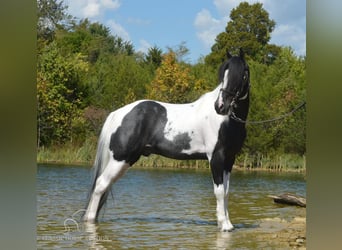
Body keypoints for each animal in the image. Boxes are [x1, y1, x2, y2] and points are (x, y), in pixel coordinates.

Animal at [82, 47, 248, 231]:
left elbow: (226, 192)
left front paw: (229, 224)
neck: (226, 121)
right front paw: (223, 225)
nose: (220, 106)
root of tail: (117, 114)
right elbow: (218, 192)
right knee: (100, 185)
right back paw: (90, 221)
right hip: (120, 159)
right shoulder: (216, 158)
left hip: (127, 160)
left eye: (242, 74)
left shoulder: (229, 159)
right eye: (223, 74)